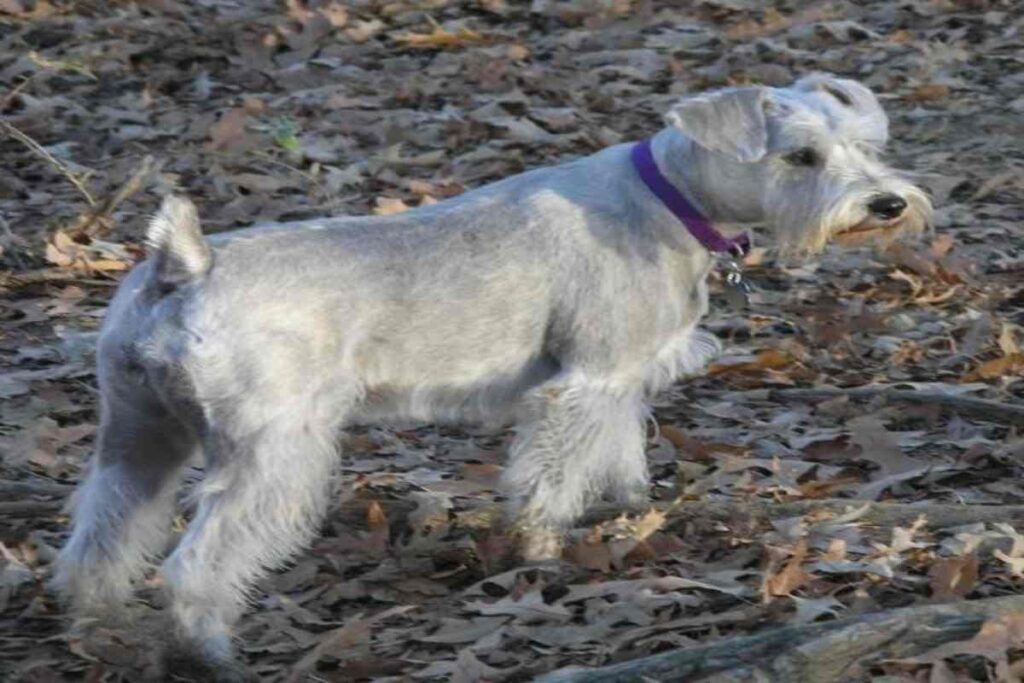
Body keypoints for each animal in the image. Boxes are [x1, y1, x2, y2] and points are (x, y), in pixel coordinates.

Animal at [59, 72, 933, 671]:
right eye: (802, 156)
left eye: (867, 146)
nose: (889, 204)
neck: (671, 198)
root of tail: (182, 265)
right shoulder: (583, 381)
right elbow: (550, 478)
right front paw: (541, 553)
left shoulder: (618, 377)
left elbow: (618, 450)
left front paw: (627, 507)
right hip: (275, 452)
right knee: (195, 560)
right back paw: (206, 647)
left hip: (138, 436)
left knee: (101, 534)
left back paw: (94, 623)